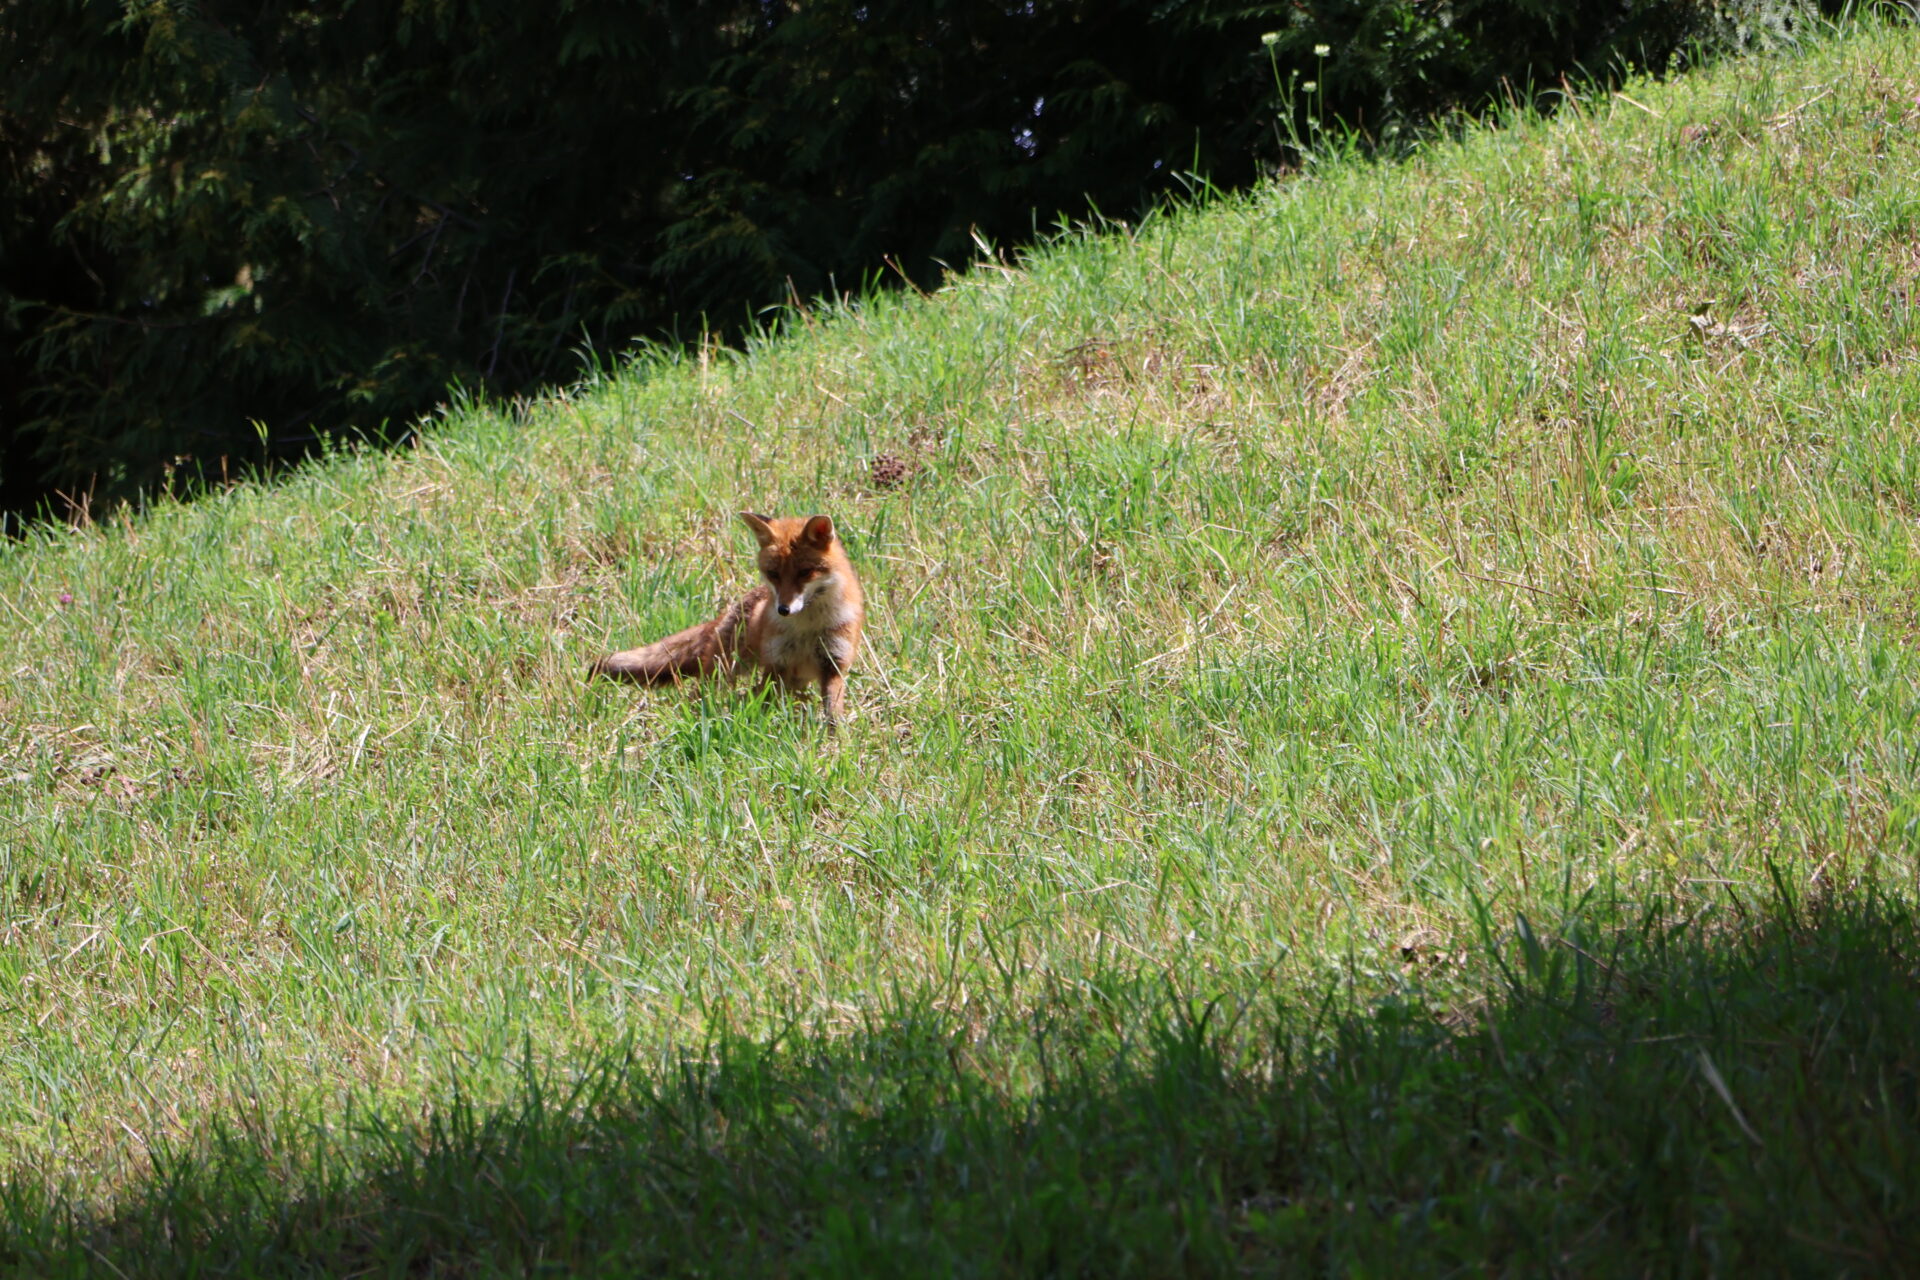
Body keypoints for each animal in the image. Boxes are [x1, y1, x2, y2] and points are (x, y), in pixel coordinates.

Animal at [589, 513, 866, 725]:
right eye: (774, 574)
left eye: (805, 572)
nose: (783, 610)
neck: (807, 628)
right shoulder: (777, 665)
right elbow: (764, 705)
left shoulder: (833, 665)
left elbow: (833, 715)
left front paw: (836, 745)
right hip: (725, 667)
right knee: (704, 692)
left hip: (790, 679)